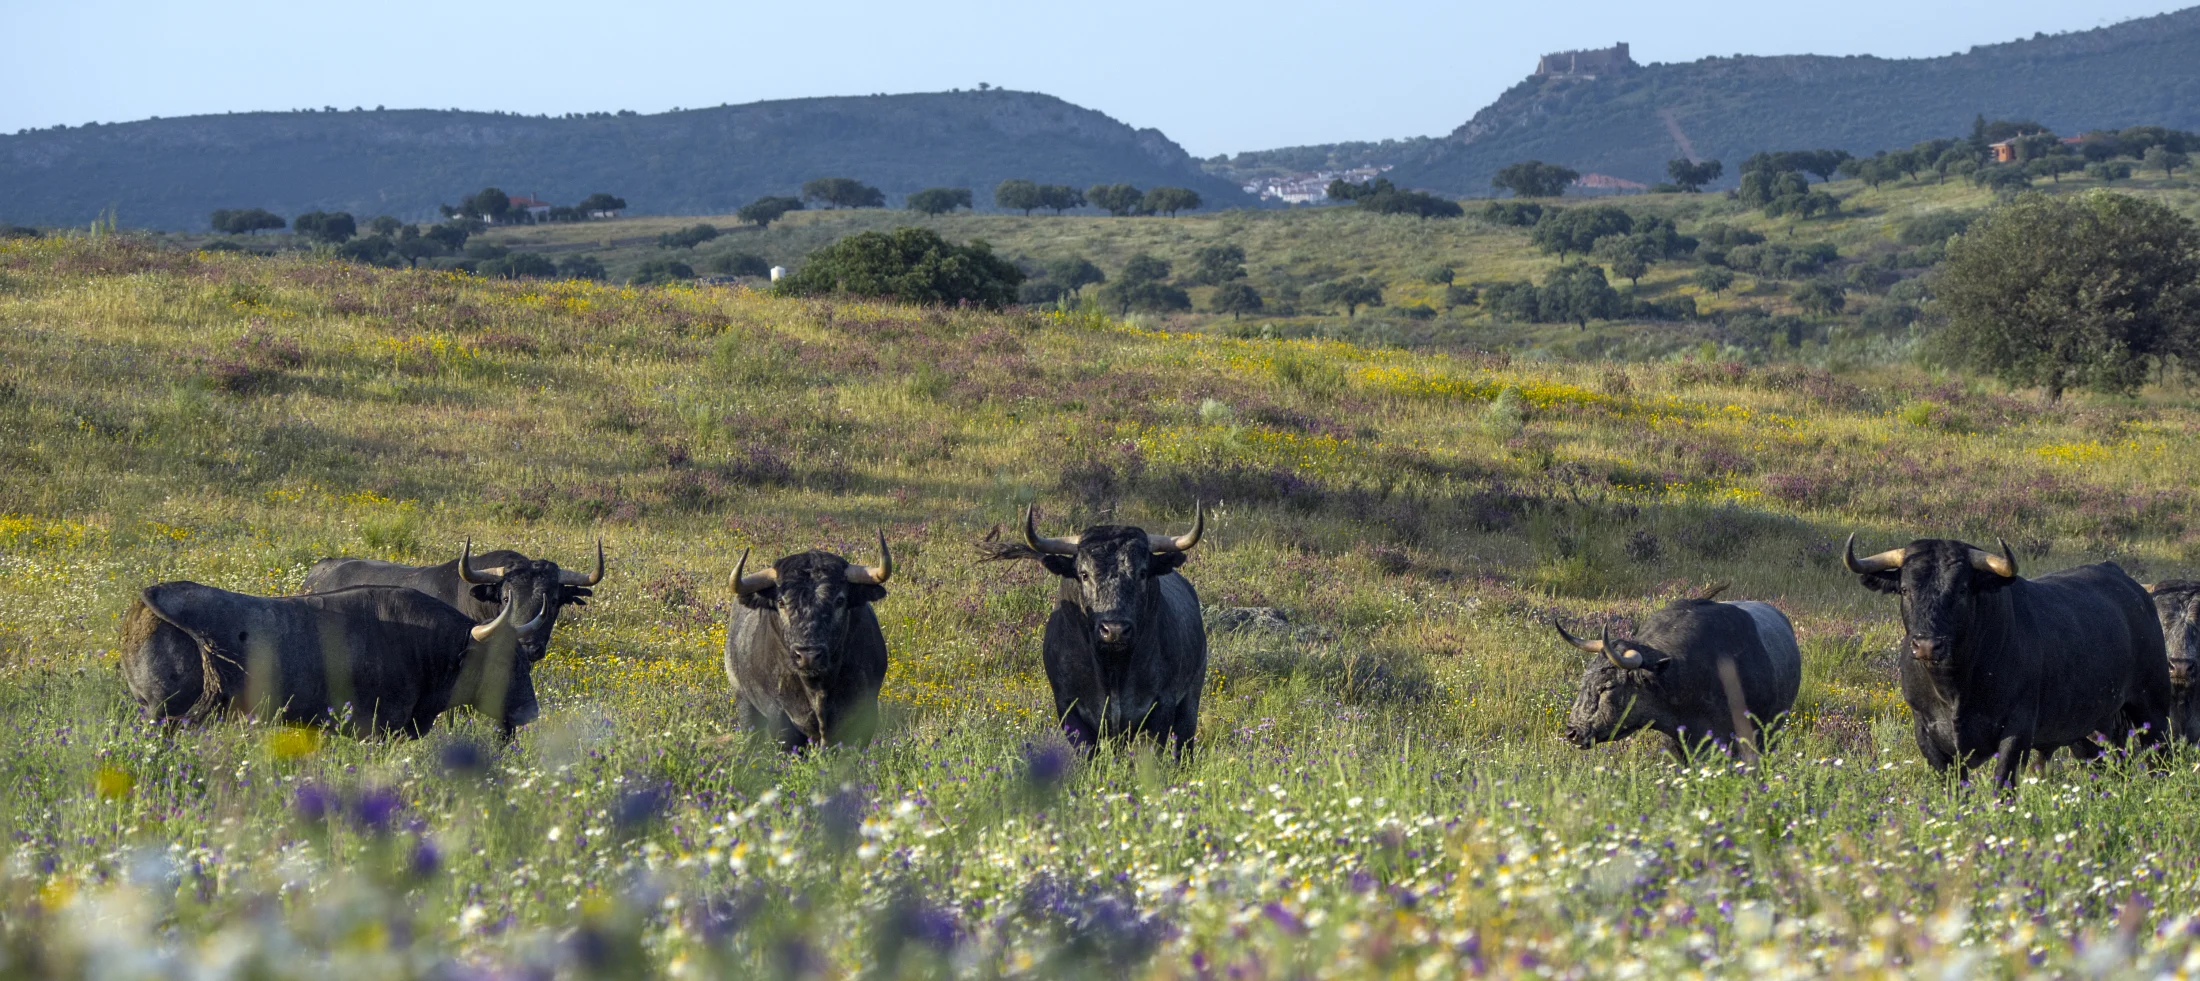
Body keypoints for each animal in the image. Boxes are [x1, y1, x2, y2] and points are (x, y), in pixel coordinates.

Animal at [723, 532, 894, 751]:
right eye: (781, 602)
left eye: (840, 600)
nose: (808, 656)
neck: (818, 688)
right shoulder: (779, 718)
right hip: (743, 700)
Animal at [990, 503, 1208, 756]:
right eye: (1084, 574)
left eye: (1142, 572)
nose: (1114, 630)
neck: (1112, 668)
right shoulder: (1069, 708)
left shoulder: (1161, 706)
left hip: (1191, 700)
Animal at [1845, 535, 2173, 787]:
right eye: (1905, 589)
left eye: (1962, 589)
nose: (1927, 645)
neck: (1954, 687)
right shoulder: (1927, 732)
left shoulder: (2017, 730)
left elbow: (2002, 784)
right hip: (2089, 728)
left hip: (2152, 707)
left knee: (2160, 760)